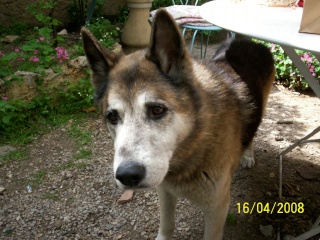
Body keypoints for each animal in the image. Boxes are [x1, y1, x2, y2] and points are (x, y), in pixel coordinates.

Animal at [81, 8, 274, 239]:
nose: (127, 176)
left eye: (157, 110)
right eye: (112, 117)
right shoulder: (164, 191)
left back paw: (247, 156)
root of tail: (245, 41)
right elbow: (167, 225)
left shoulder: (217, 208)